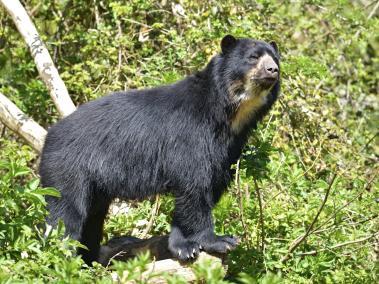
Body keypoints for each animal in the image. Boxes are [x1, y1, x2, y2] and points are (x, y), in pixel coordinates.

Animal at [40, 35, 280, 264]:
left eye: (275, 58)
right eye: (253, 57)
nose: (273, 70)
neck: (229, 113)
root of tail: (50, 135)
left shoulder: (228, 147)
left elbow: (211, 184)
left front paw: (183, 245)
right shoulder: (190, 135)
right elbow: (195, 185)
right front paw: (218, 240)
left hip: (95, 187)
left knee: (92, 219)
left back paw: (88, 260)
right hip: (69, 168)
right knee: (66, 214)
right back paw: (62, 257)